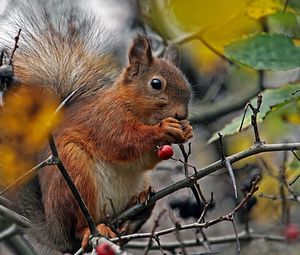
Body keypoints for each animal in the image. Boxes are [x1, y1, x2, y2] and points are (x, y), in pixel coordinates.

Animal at [0, 1, 192, 253]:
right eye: (156, 84)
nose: (182, 115)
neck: (130, 105)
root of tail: (54, 230)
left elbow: (143, 160)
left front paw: (186, 130)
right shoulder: (107, 120)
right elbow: (124, 143)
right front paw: (164, 129)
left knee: (123, 226)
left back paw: (137, 209)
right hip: (74, 176)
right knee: (79, 226)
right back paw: (92, 229)